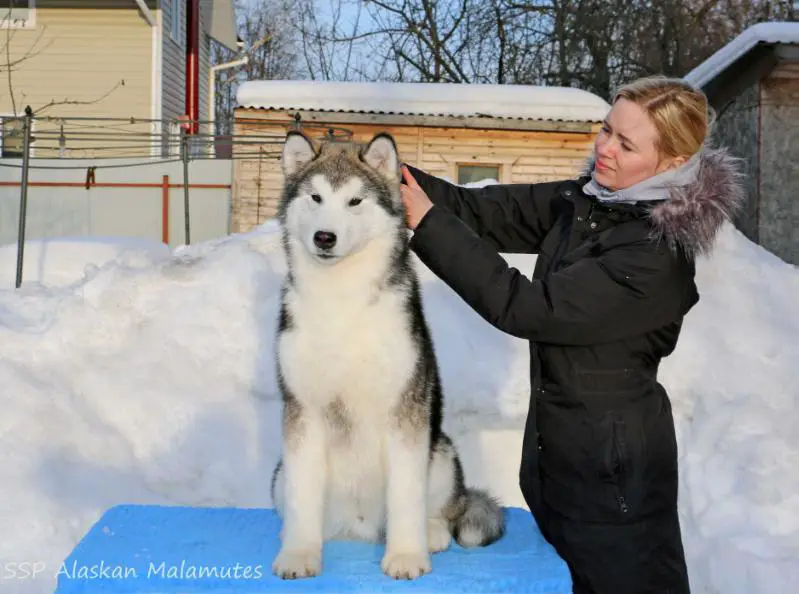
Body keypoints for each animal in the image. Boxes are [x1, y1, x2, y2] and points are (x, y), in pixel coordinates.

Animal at [272, 130, 504, 580]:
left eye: (355, 201)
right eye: (315, 197)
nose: (324, 237)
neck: (341, 300)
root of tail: (357, 526)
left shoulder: (406, 412)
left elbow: (405, 496)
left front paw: (406, 555)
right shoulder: (301, 411)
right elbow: (302, 496)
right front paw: (299, 552)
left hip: (440, 453)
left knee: (442, 508)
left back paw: (433, 533)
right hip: (279, 474)